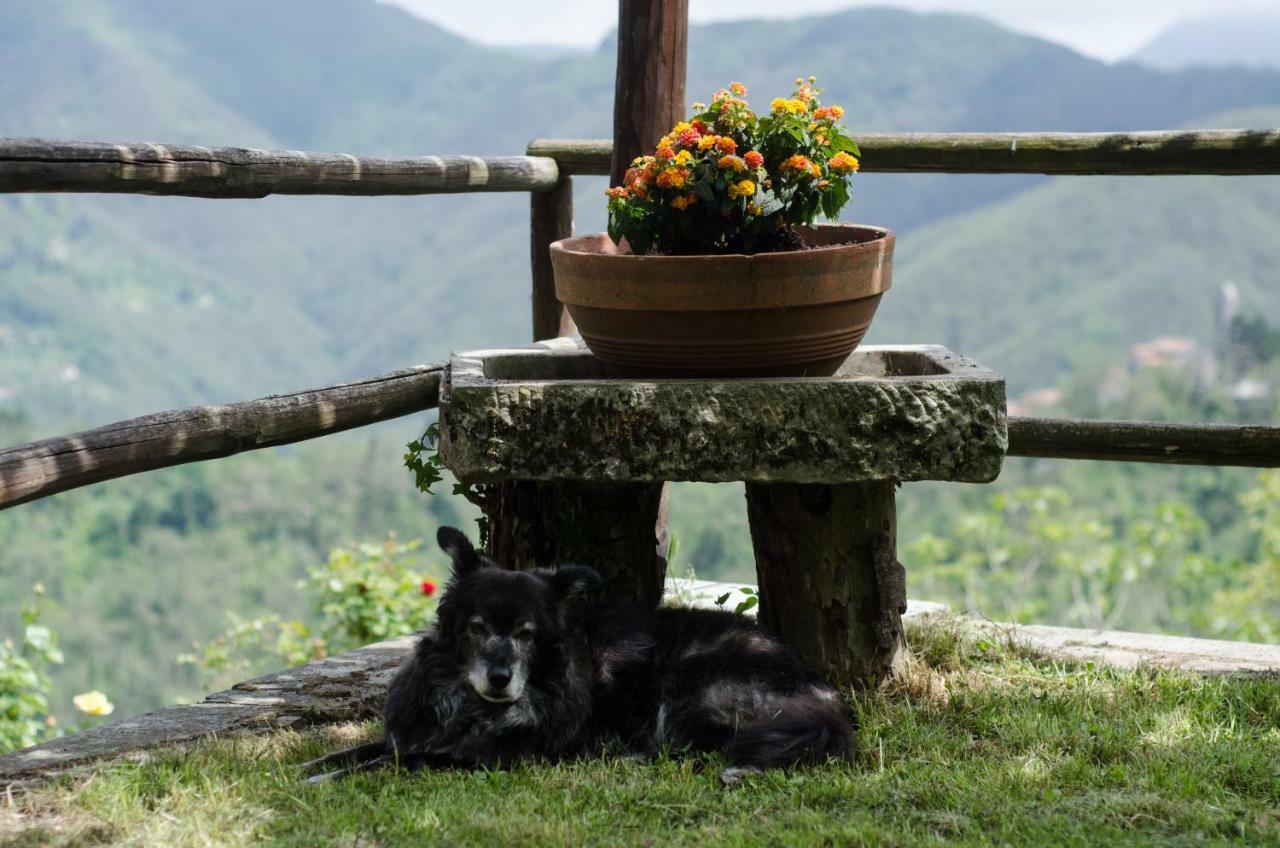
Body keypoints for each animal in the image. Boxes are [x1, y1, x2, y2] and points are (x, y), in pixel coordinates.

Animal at [304, 527, 855, 789]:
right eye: (477, 628)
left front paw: (326, 780)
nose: (500, 677)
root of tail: (817, 688)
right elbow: (366, 751)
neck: (474, 709)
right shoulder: (414, 732)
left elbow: (397, 762)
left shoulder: (494, 758)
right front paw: (314, 766)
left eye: (526, 634)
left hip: (691, 683)